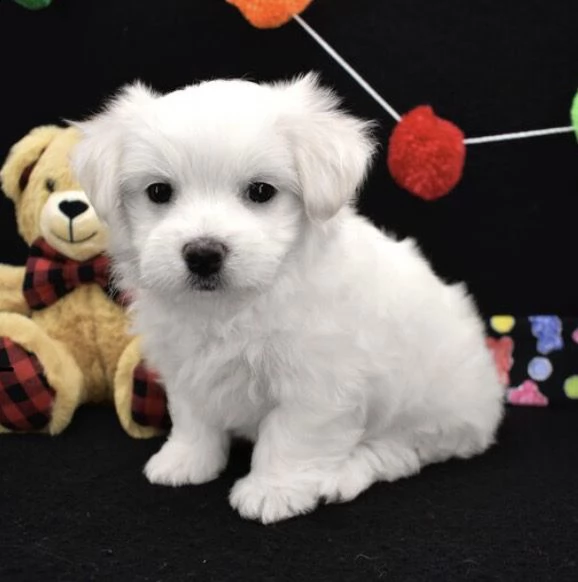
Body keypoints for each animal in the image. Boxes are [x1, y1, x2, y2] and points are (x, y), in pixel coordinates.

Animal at [72, 73, 502, 524]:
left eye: (261, 191)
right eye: (159, 192)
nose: (203, 254)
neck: (235, 304)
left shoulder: (318, 384)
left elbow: (290, 435)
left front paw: (272, 491)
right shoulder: (184, 365)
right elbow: (193, 416)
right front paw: (186, 460)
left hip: (432, 406)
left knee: (402, 451)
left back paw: (344, 474)